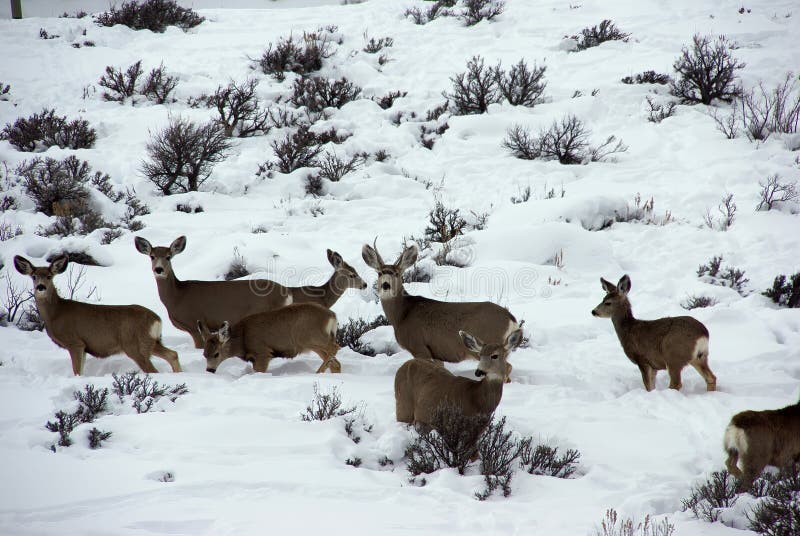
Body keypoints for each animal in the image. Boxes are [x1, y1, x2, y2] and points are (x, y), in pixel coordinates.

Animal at [13, 255, 181, 375]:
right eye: (33, 276)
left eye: (49, 276)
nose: (41, 287)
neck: (56, 313)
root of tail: (157, 319)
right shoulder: (84, 347)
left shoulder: (75, 342)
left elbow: (77, 372)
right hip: (152, 342)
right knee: (172, 354)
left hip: (135, 345)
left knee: (154, 370)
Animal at [197, 303, 340, 374]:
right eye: (204, 354)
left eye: (216, 354)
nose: (209, 370)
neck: (243, 339)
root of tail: (332, 316)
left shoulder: (262, 352)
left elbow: (259, 371)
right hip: (313, 342)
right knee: (336, 363)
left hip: (309, 337)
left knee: (335, 347)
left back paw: (318, 372)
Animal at [362, 242, 520, 380]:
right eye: (379, 273)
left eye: (397, 273)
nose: (385, 285)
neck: (402, 316)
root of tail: (511, 319)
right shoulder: (437, 352)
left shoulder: (419, 346)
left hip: (488, 345)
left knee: (507, 367)